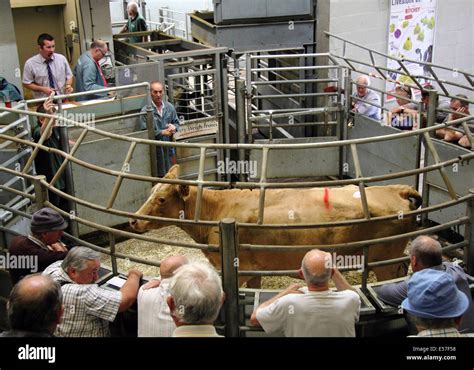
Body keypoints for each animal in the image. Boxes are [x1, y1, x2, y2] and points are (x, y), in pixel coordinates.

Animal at [131, 165, 422, 286]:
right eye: (152, 191)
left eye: (161, 198)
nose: (133, 219)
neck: (219, 208)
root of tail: (396, 189)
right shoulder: (253, 270)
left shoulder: (238, 270)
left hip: (383, 259)